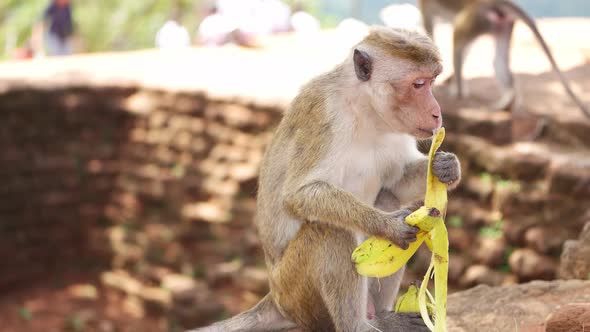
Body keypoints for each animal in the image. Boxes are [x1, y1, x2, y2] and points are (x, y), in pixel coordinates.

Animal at [190, 26, 462, 332]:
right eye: (418, 84)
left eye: (432, 81)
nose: (437, 113)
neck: (366, 110)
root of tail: (275, 297)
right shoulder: (325, 113)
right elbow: (301, 194)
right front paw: (388, 225)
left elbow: (396, 182)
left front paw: (445, 167)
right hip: (295, 289)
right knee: (330, 230)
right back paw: (358, 325)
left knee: (386, 198)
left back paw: (383, 316)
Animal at [418, 0, 588, 116]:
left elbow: (429, 27)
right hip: (501, 24)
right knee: (498, 61)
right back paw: (508, 101)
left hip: (477, 16)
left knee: (458, 36)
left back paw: (459, 93)